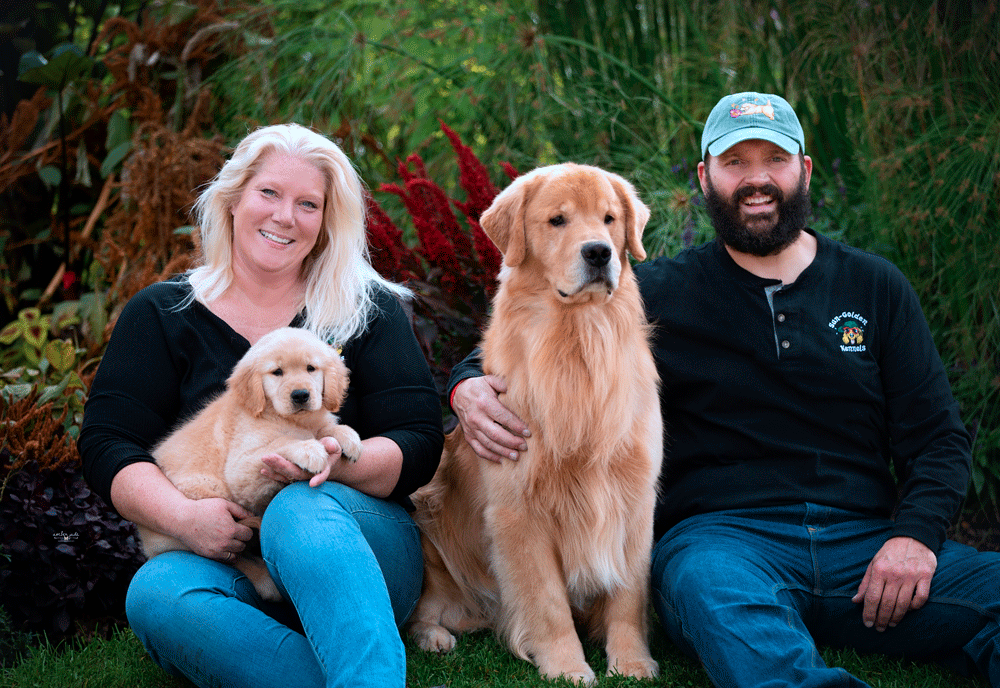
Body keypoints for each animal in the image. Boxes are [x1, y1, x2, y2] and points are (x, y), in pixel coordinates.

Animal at [138, 326, 360, 600]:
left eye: (311, 368)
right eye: (277, 372)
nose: (300, 395)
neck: (285, 416)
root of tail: (145, 538)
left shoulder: (314, 422)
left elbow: (325, 428)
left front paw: (347, 436)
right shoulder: (242, 468)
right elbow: (281, 441)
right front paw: (308, 448)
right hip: (204, 495)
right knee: (229, 556)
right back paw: (265, 579)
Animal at [408, 164, 664, 684]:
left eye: (609, 219)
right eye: (557, 220)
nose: (599, 252)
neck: (578, 339)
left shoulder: (633, 497)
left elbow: (628, 595)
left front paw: (631, 662)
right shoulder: (519, 510)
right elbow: (547, 602)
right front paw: (566, 666)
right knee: (421, 613)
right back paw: (435, 637)